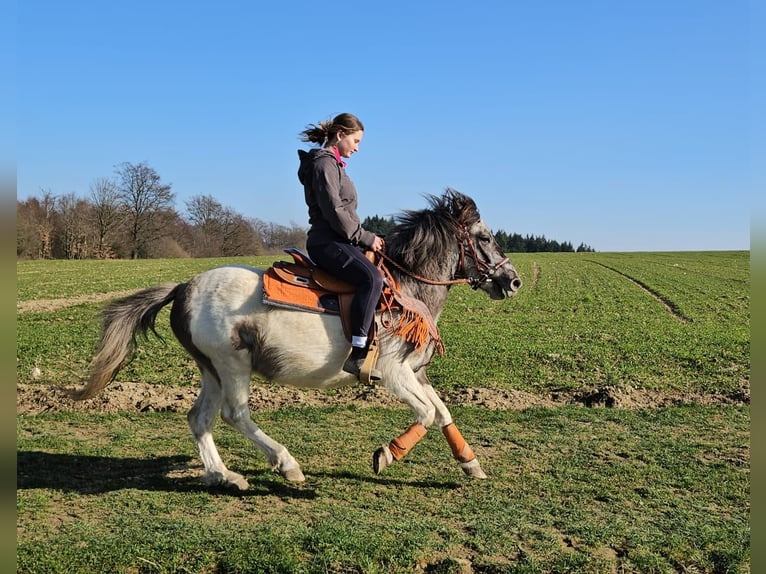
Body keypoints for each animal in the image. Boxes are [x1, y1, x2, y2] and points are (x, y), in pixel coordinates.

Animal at [70, 189, 522, 490]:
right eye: (484, 237)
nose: (513, 280)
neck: (407, 287)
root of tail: (183, 288)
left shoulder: (415, 371)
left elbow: (443, 413)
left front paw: (471, 464)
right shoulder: (395, 372)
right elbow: (426, 414)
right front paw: (386, 454)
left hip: (210, 370)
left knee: (200, 419)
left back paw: (224, 475)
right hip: (232, 364)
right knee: (235, 414)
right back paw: (286, 463)